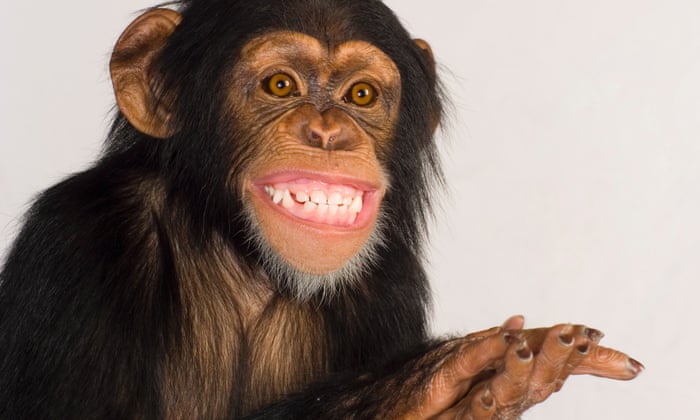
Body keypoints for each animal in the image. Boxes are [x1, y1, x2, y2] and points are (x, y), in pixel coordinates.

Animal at [0, 1, 642, 419]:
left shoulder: (391, 285)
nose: (329, 133)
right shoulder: (79, 240)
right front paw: (420, 384)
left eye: (361, 95)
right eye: (280, 85)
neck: (244, 261)